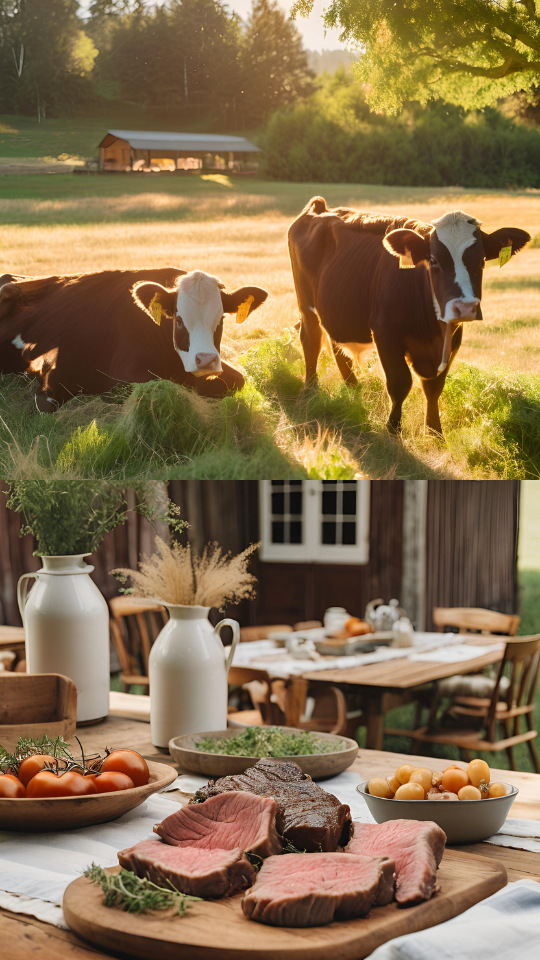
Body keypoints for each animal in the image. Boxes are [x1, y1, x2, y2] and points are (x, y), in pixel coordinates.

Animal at [288, 198, 528, 436]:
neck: (433, 333)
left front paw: (435, 431)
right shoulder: (385, 334)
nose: (465, 307)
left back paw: (354, 390)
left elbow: (434, 387)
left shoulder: (453, 340)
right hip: (306, 305)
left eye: (481, 261)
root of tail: (319, 208)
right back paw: (310, 391)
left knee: (336, 346)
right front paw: (393, 428)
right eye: (434, 260)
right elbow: (400, 382)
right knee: (311, 342)